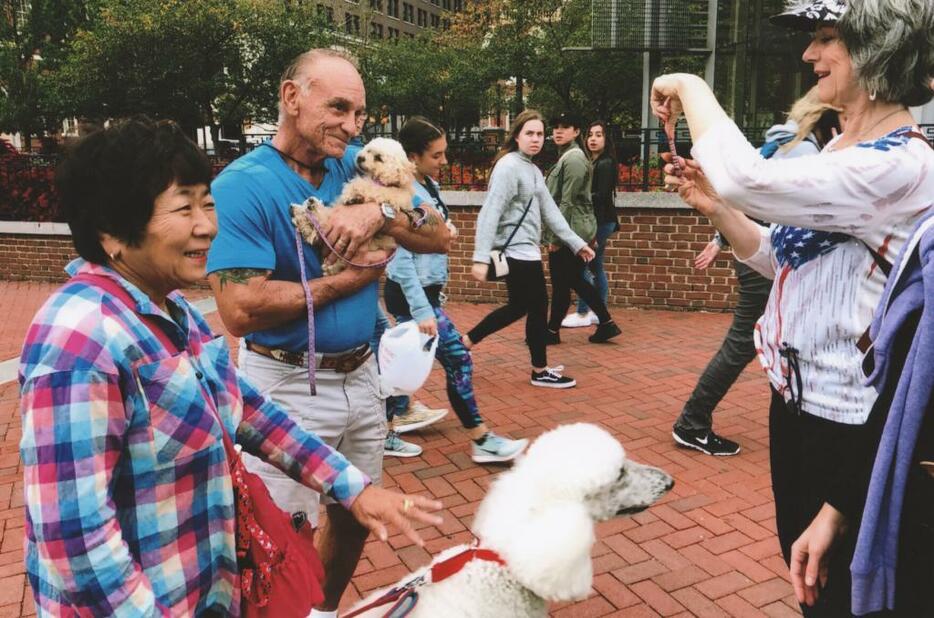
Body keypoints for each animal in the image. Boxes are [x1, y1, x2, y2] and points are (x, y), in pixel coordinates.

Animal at [290, 138, 418, 276]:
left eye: (378, 158)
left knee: (319, 229)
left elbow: (368, 189)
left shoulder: (385, 193)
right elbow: (355, 186)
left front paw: (354, 196)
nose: (360, 158)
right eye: (367, 150)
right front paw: (351, 195)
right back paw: (306, 209)